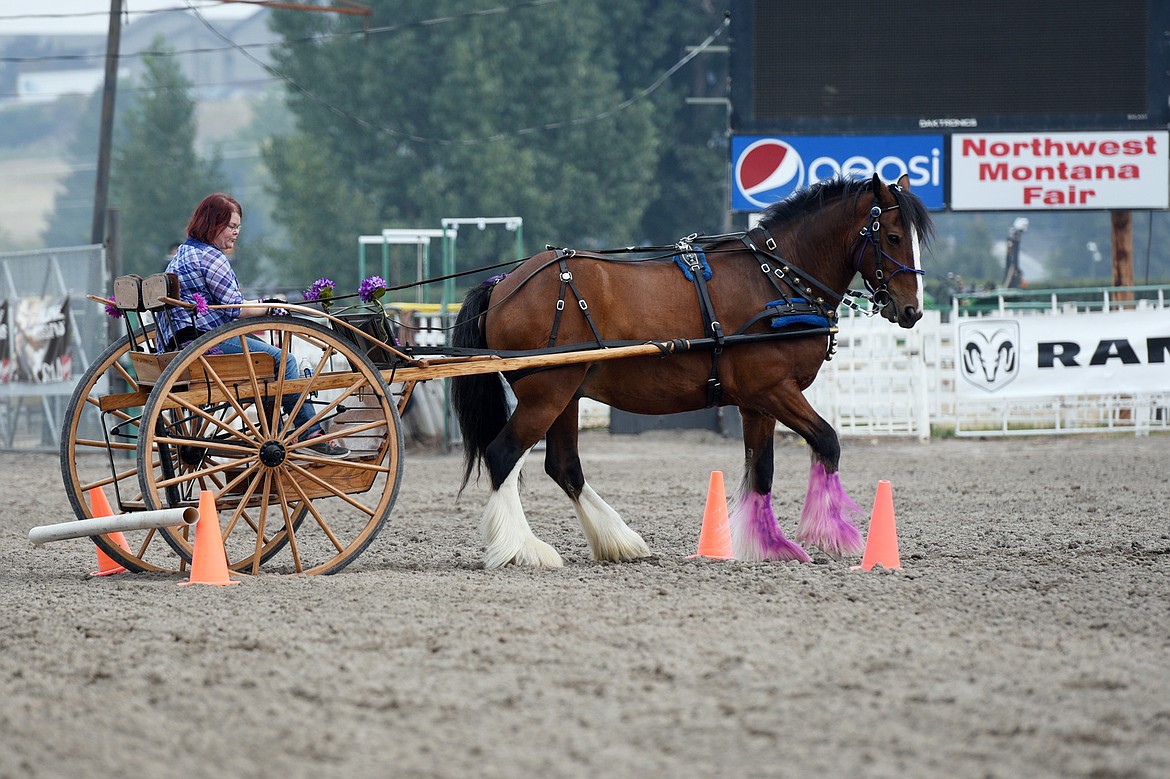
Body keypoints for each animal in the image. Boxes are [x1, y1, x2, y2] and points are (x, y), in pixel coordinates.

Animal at [446, 173, 931, 568]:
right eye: (891, 237)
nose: (912, 311)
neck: (776, 278)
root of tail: (504, 285)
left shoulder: (757, 404)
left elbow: (762, 471)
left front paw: (766, 545)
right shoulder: (775, 389)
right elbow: (827, 441)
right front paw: (831, 534)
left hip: (565, 394)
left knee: (564, 467)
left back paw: (618, 542)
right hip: (547, 393)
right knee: (504, 454)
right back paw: (522, 549)